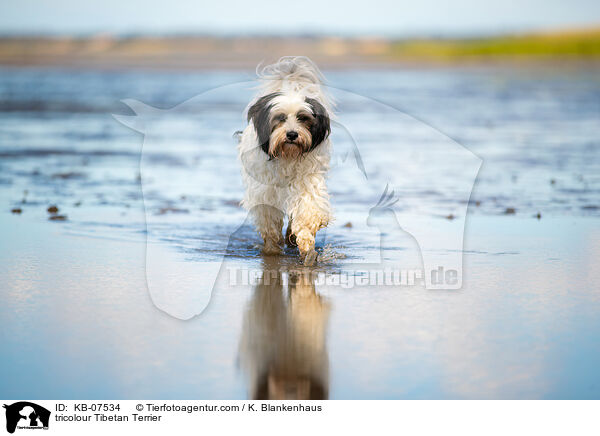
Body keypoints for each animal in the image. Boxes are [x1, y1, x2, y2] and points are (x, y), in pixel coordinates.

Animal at [238, 55, 332, 264]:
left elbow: (307, 211)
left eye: (303, 118)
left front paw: (305, 243)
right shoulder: (265, 190)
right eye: (280, 118)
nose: (292, 134)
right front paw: (272, 248)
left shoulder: (307, 182)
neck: (287, 156)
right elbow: (269, 220)